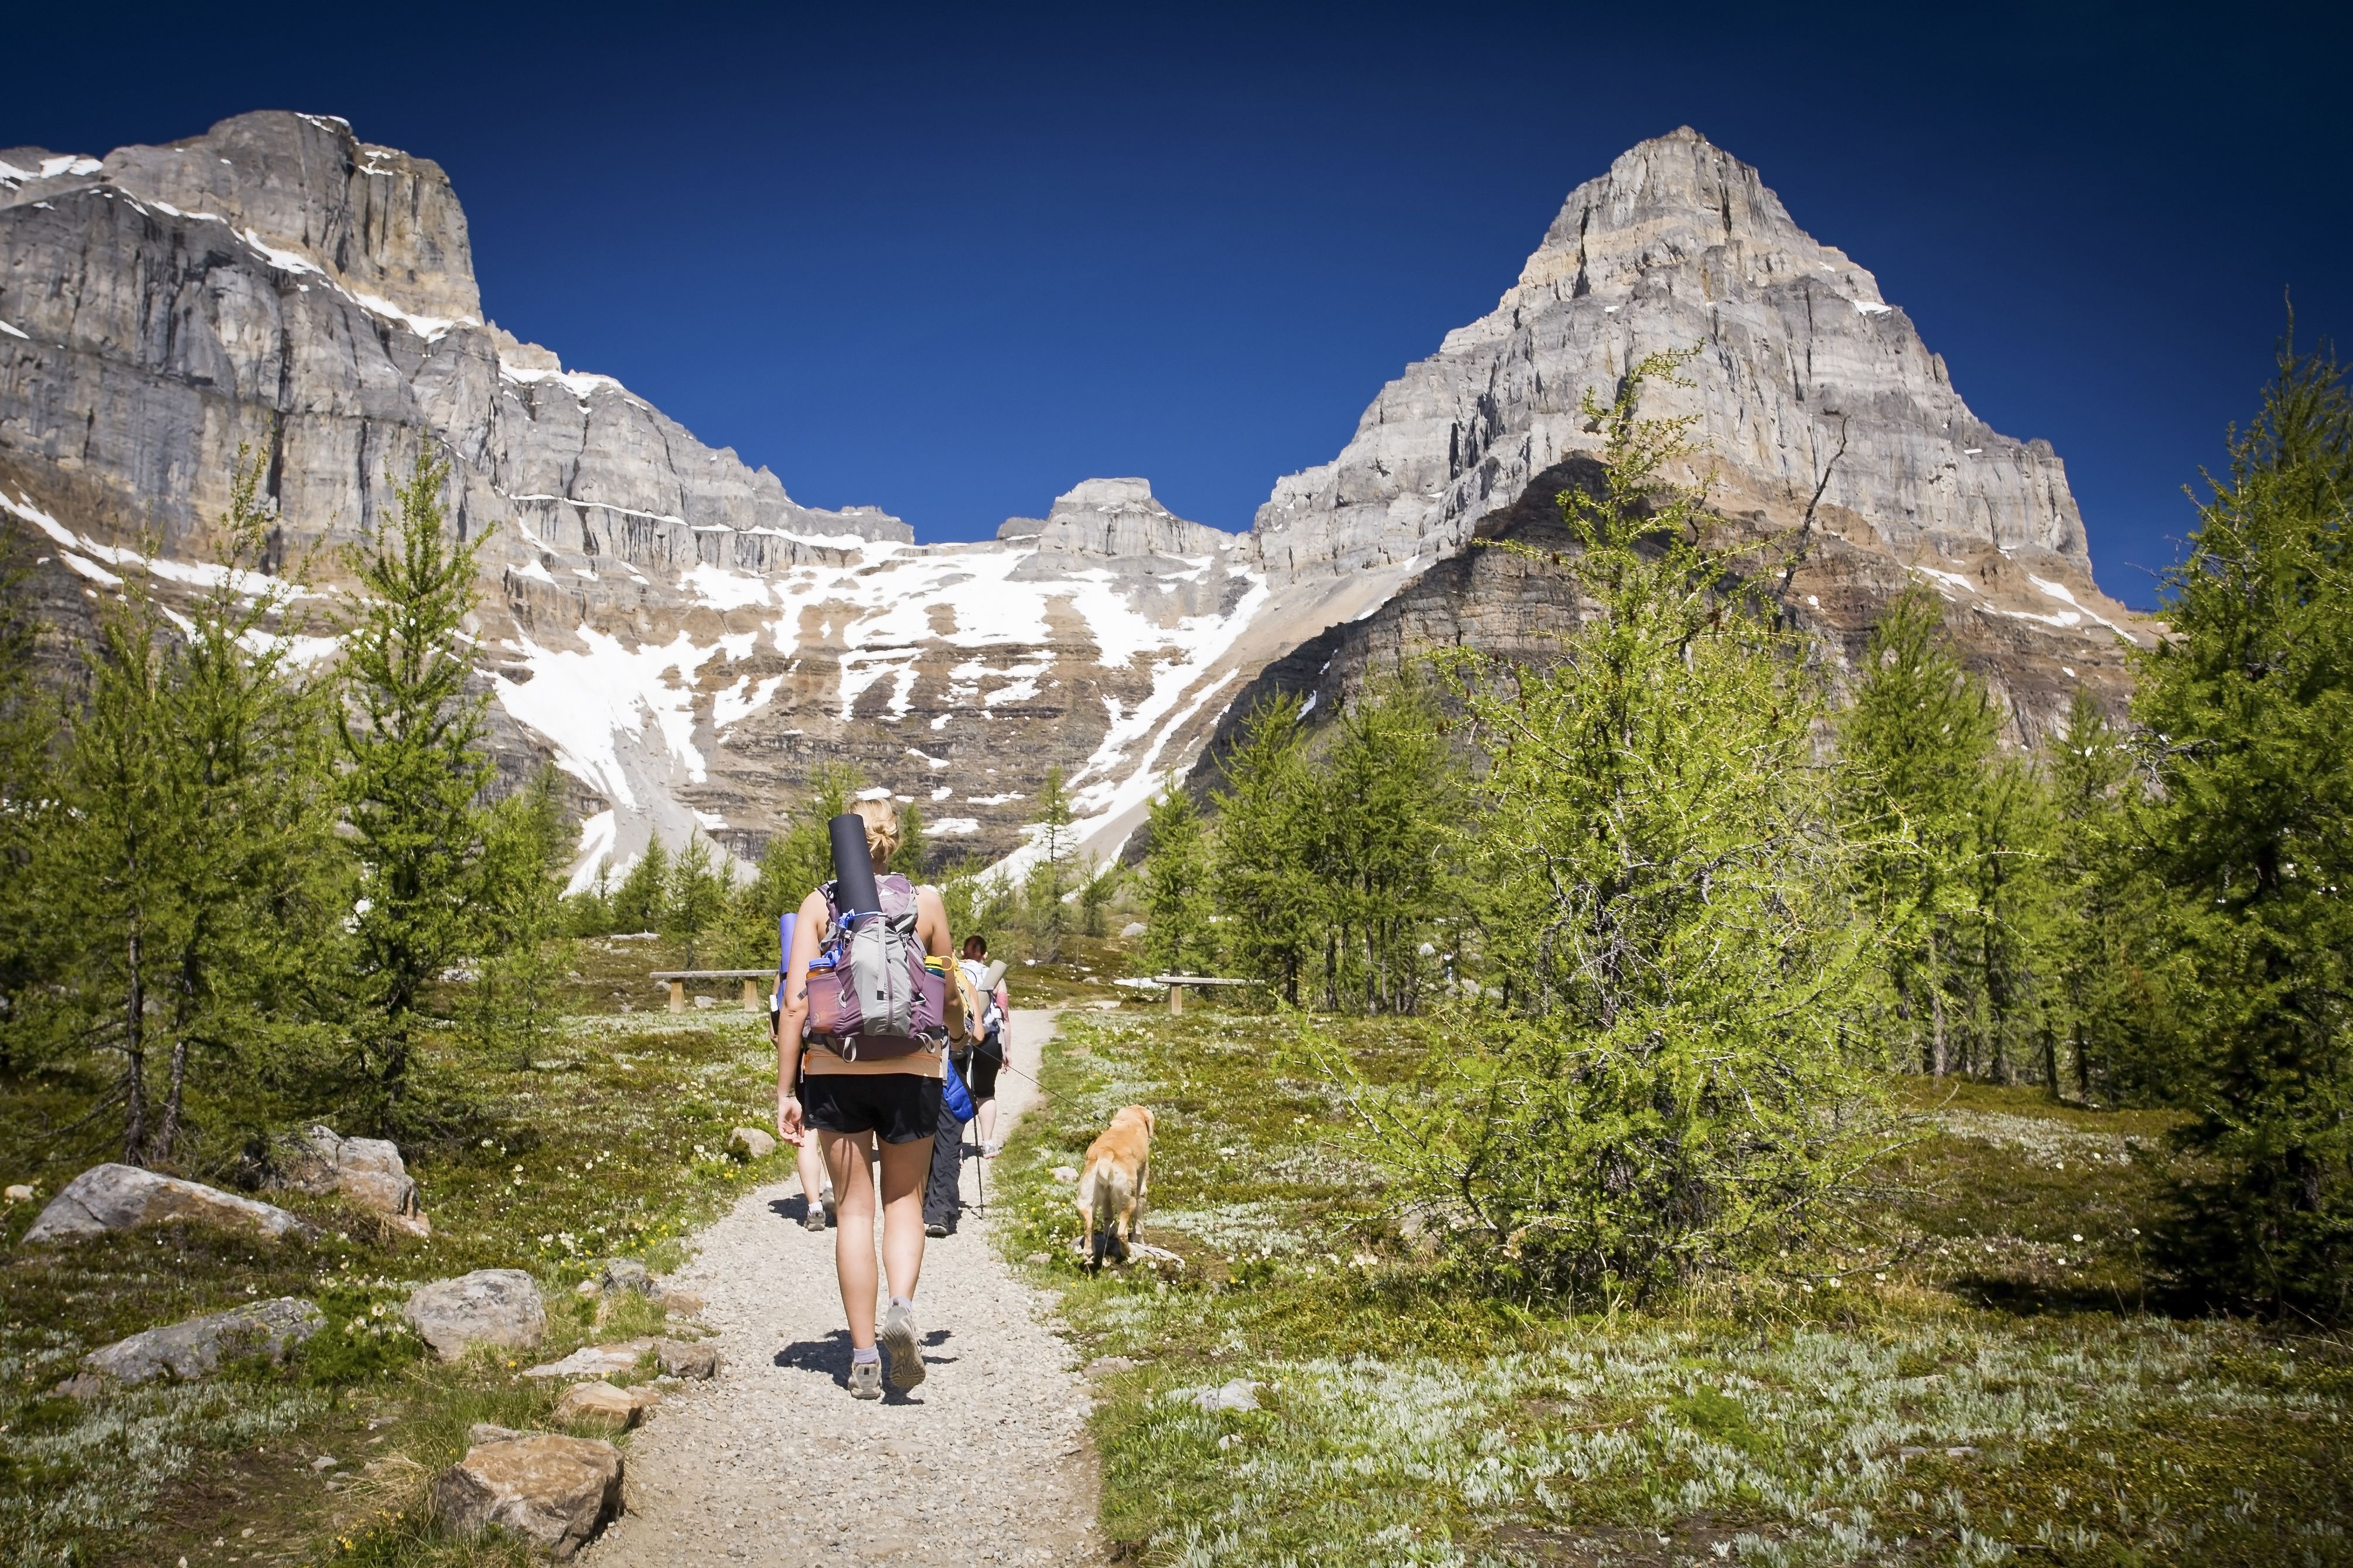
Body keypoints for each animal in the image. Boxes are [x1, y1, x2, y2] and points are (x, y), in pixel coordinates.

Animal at [1077, 1106, 1157, 1262]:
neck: (1129, 1120)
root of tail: (1105, 1155)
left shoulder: (1106, 1194)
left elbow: (1108, 1215)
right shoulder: (1142, 1189)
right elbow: (1139, 1224)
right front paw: (1141, 1242)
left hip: (1086, 1198)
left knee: (1089, 1225)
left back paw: (1089, 1253)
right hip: (1128, 1200)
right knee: (1122, 1232)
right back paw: (1129, 1253)